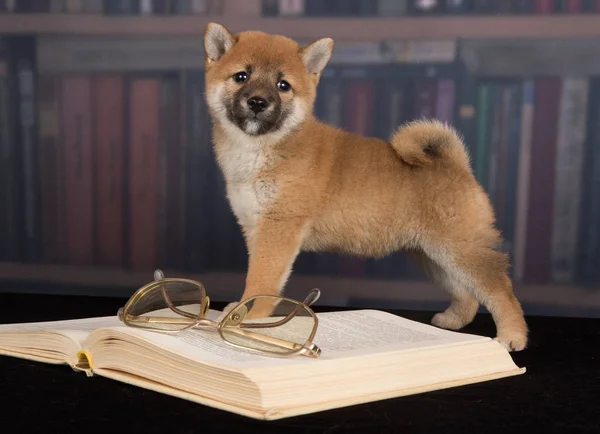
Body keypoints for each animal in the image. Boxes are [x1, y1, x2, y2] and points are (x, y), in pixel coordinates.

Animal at [204, 22, 528, 350]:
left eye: (283, 85)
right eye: (241, 76)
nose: (258, 102)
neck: (263, 148)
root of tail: (456, 165)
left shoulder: (279, 227)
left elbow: (261, 280)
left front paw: (247, 314)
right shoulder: (255, 226)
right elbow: (258, 275)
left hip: (460, 249)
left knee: (499, 288)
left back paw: (512, 335)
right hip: (433, 256)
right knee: (467, 293)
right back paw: (453, 320)